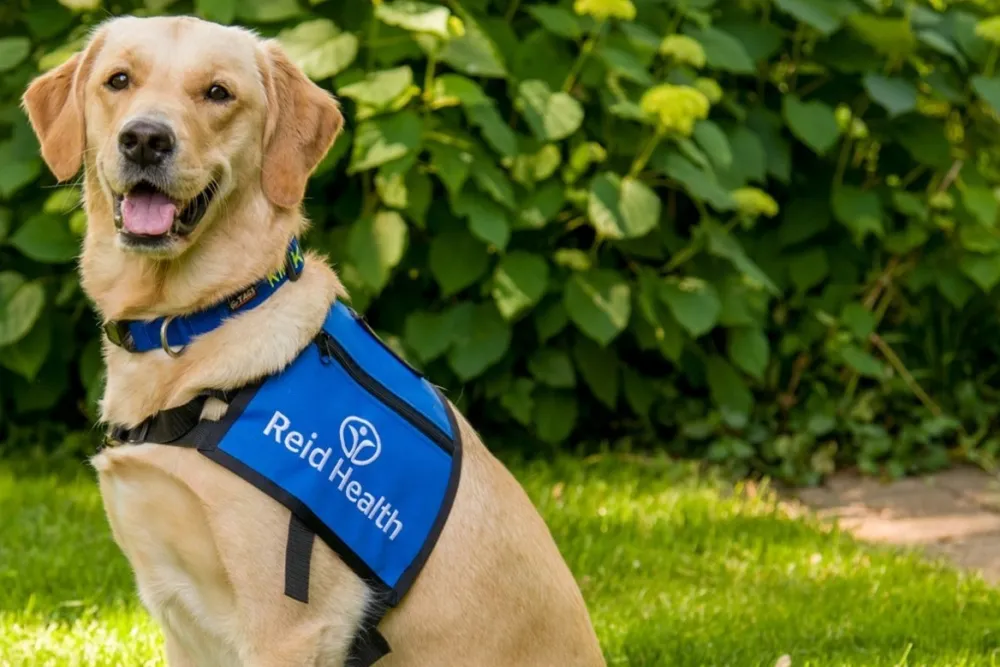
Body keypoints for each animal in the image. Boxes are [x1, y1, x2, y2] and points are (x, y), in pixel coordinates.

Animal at [21, 15, 600, 667]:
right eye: (119, 80)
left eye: (218, 93)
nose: (145, 139)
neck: (194, 325)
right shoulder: (180, 618)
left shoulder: (285, 627)